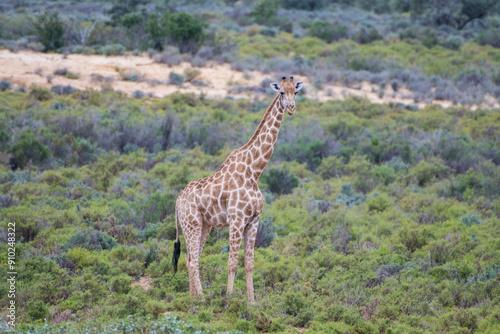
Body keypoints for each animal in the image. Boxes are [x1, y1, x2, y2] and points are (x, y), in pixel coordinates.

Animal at [172, 77, 304, 302]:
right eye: (281, 93)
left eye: (295, 92)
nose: (291, 108)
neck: (254, 171)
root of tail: (177, 201)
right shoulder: (237, 219)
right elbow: (232, 263)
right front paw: (230, 299)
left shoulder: (253, 220)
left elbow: (249, 263)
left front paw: (251, 302)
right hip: (191, 224)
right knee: (193, 260)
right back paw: (203, 299)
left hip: (205, 225)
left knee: (190, 258)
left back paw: (193, 299)